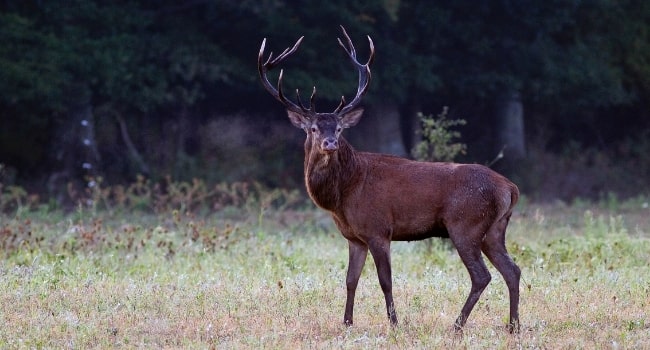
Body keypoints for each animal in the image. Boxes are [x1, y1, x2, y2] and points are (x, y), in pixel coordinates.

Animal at [256, 26, 520, 332]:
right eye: (313, 128)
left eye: (339, 128)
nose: (330, 143)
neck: (344, 193)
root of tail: (510, 188)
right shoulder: (354, 237)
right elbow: (350, 280)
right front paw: (347, 323)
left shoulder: (378, 229)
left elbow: (385, 281)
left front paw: (394, 323)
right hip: (495, 229)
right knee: (513, 270)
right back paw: (513, 326)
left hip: (465, 224)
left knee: (482, 275)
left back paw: (457, 325)